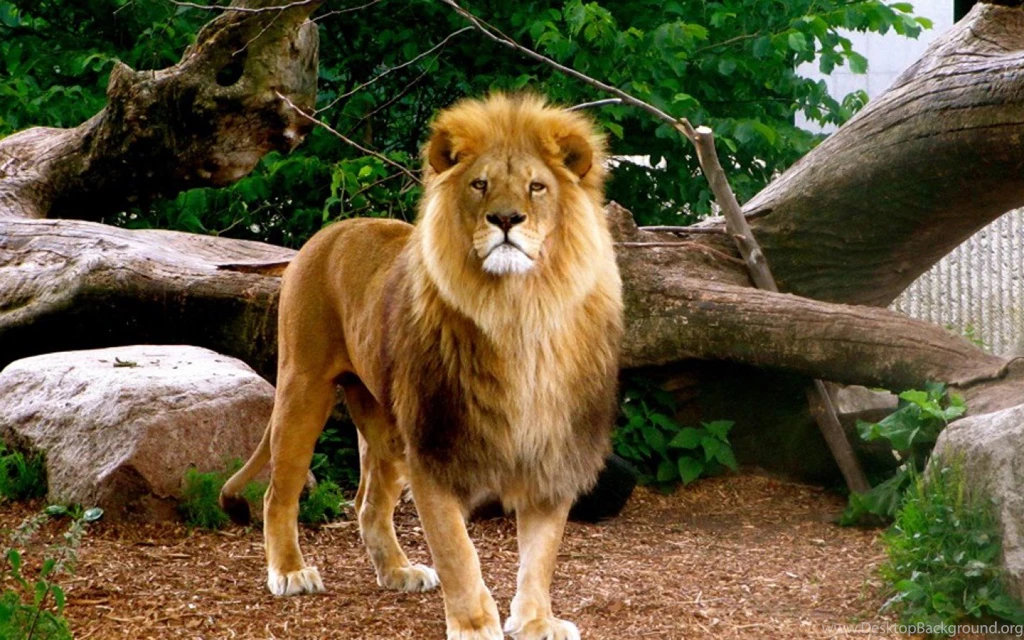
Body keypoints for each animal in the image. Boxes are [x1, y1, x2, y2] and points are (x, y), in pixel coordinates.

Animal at [219, 93, 623, 640]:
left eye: (537, 186)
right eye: (480, 184)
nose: (506, 219)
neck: (520, 314)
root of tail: (328, 232)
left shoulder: (551, 448)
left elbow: (541, 553)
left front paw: (536, 620)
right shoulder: (434, 444)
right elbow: (457, 550)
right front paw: (474, 625)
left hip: (385, 424)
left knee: (368, 503)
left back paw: (397, 571)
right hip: (303, 387)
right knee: (278, 493)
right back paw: (289, 572)